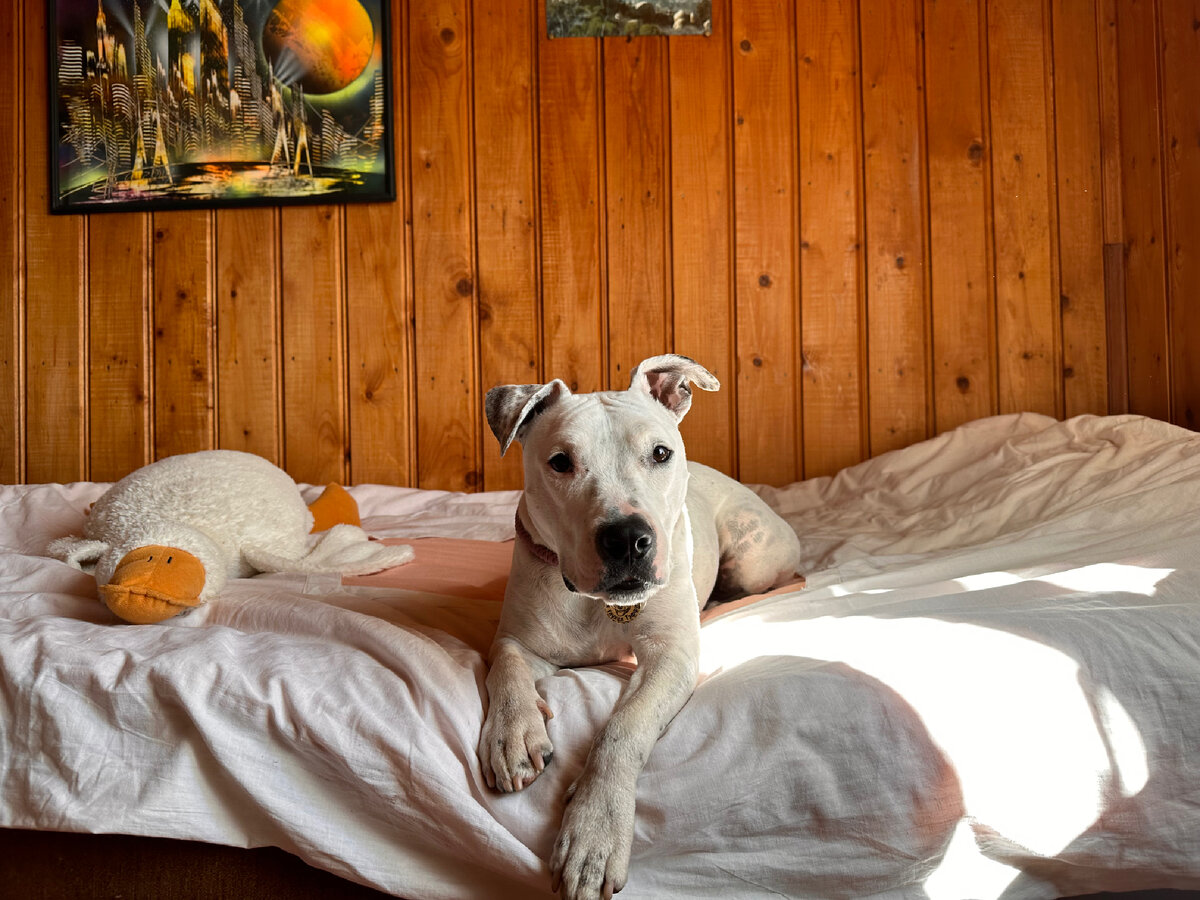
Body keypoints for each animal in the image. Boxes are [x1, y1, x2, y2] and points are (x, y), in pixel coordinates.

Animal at [480, 355, 806, 897]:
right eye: (560, 462)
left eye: (659, 453)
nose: (626, 538)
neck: (596, 605)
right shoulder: (521, 639)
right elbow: (503, 663)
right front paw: (512, 733)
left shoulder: (670, 659)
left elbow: (623, 727)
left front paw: (594, 829)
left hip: (752, 554)